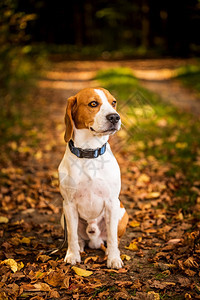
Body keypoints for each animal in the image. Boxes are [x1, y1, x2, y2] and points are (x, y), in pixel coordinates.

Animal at [58, 87, 129, 270]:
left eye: (113, 102)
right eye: (93, 104)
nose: (115, 117)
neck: (89, 152)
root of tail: (95, 240)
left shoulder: (111, 202)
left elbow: (112, 238)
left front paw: (114, 259)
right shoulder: (68, 204)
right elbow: (72, 237)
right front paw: (72, 255)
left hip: (121, 212)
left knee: (112, 238)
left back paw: (110, 251)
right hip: (63, 217)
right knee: (78, 238)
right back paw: (80, 247)